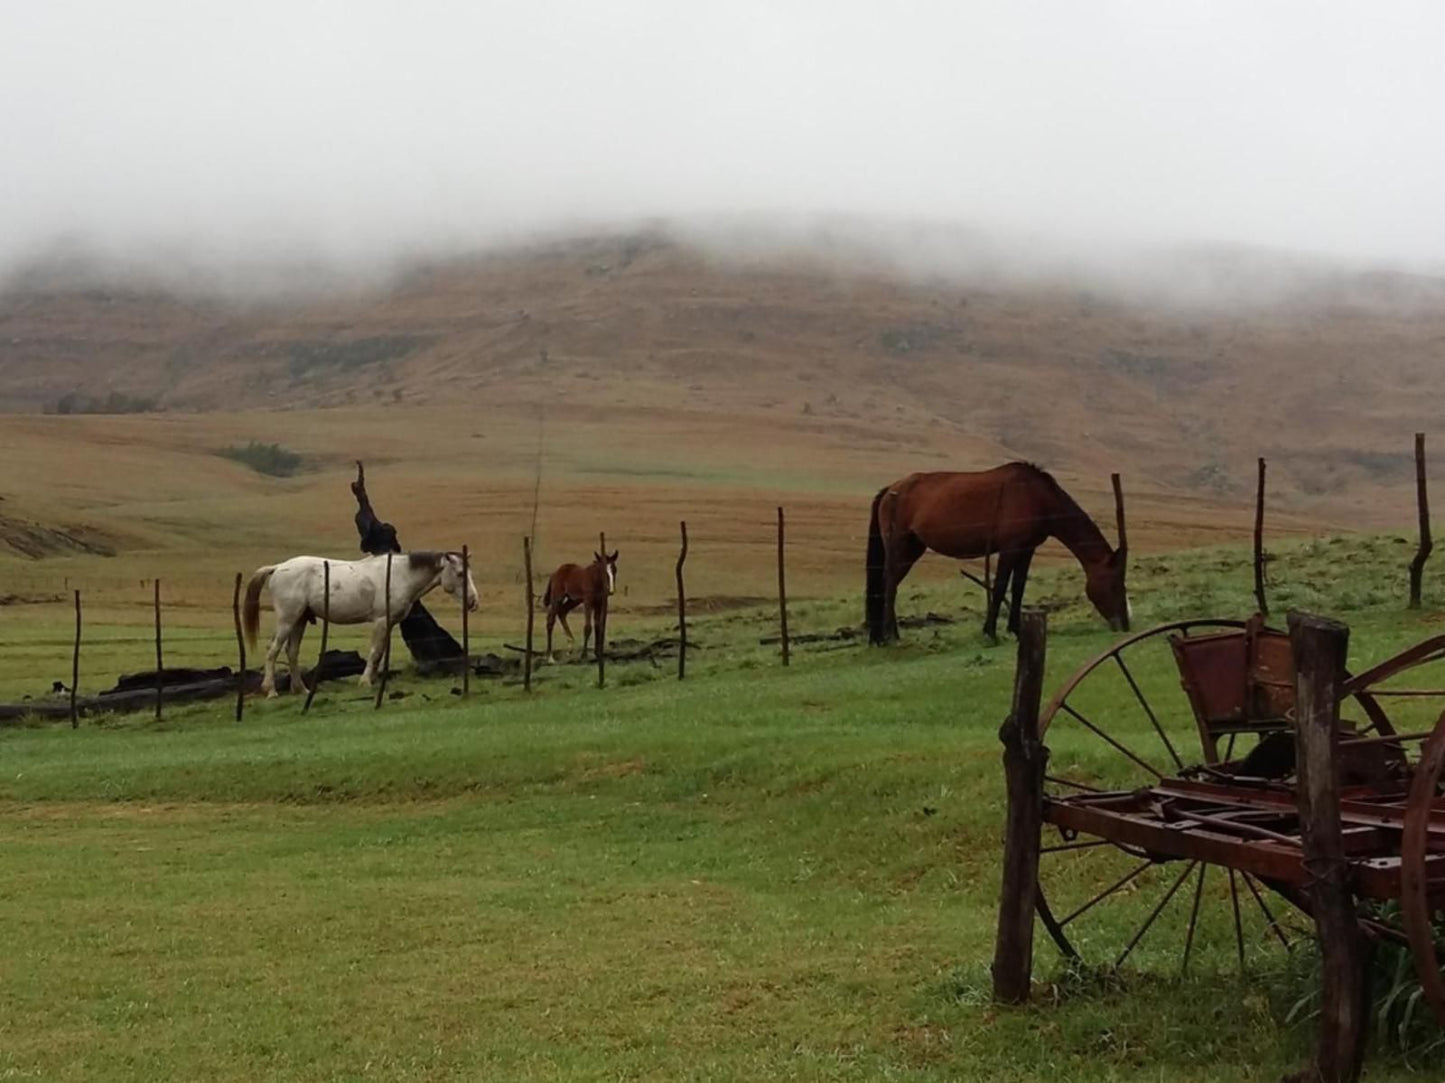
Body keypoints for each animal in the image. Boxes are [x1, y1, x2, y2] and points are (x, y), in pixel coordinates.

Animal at [241, 552, 479, 696]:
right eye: (460, 574)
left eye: (469, 572)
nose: (473, 601)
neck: (399, 576)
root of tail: (277, 567)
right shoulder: (381, 621)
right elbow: (374, 652)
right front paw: (365, 682)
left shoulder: (388, 624)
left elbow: (380, 653)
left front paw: (372, 680)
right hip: (288, 618)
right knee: (273, 650)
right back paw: (270, 690)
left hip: (299, 619)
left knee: (291, 651)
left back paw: (302, 689)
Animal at [861, 462, 1121, 641]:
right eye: (1114, 582)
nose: (1123, 623)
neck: (1036, 496)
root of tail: (891, 489)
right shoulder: (1010, 549)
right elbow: (1000, 587)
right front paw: (990, 631)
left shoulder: (1026, 550)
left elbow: (1018, 588)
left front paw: (1015, 629)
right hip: (900, 548)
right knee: (889, 586)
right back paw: (892, 635)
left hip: (912, 548)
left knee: (888, 586)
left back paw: (881, 636)